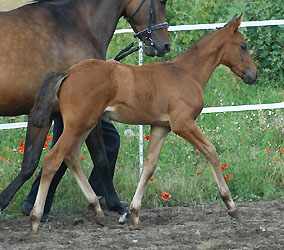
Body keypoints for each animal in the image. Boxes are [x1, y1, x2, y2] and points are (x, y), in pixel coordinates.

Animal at [0, 0, 169, 218]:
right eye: (162, 2)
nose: (164, 45)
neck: (76, 25)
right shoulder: (87, 115)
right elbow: (101, 158)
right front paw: (116, 205)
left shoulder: (43, 116)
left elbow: (30, 163)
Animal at [29, 14, 258, 233]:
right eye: (242, 46)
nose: (253, 75)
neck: (186, 73)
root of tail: (68, 74)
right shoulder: (183, 124)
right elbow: (211, 151)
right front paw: (231, 205)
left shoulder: (161, 127)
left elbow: (149, 165)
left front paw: (135, 214)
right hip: (79, 124)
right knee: (53, 159)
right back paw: (35, 219)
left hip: (85, 124)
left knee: (71, 157)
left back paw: (97, 210)